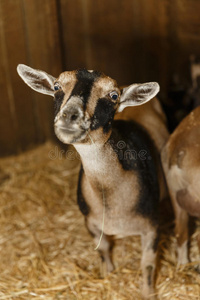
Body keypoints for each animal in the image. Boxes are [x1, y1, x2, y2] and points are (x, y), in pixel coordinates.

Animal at [17, 64, 169, 298]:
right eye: (56, 86)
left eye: (113, 95)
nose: (70, 116)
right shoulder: (90, 222)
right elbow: (103, 248)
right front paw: (108, 274)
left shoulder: (152, 225)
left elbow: (148, 263)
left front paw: (148, 293)